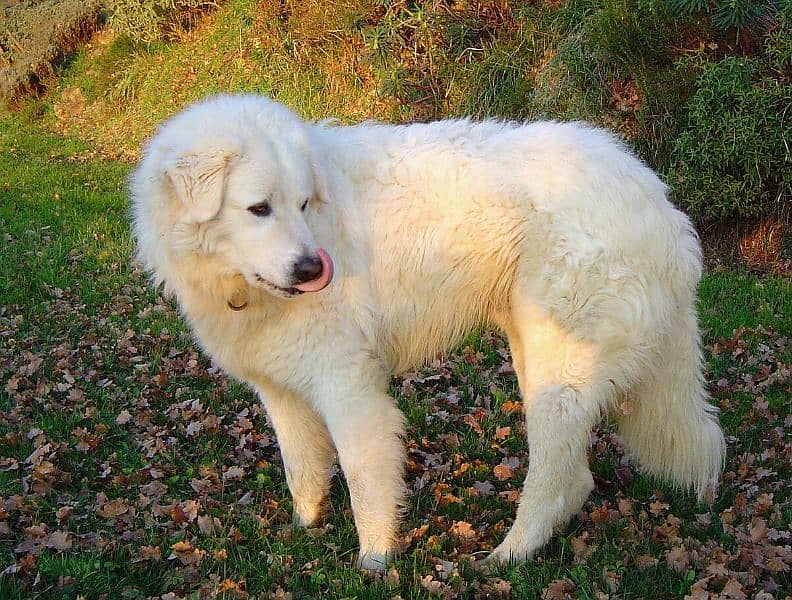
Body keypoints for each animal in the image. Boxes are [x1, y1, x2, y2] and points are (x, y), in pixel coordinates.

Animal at [130, 92, 724, 568]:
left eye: (300, 204)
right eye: (259, 208)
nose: (312, 269)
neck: (237, 283)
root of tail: (658, 200)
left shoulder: (349, 390)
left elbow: (364, 479)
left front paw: (374, 562)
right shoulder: (282, 391)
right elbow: (303, 468)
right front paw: (305, 528)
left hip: (560, 370)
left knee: (554, 477)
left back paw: (506, 556)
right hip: (534, 352)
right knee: (575, 479)